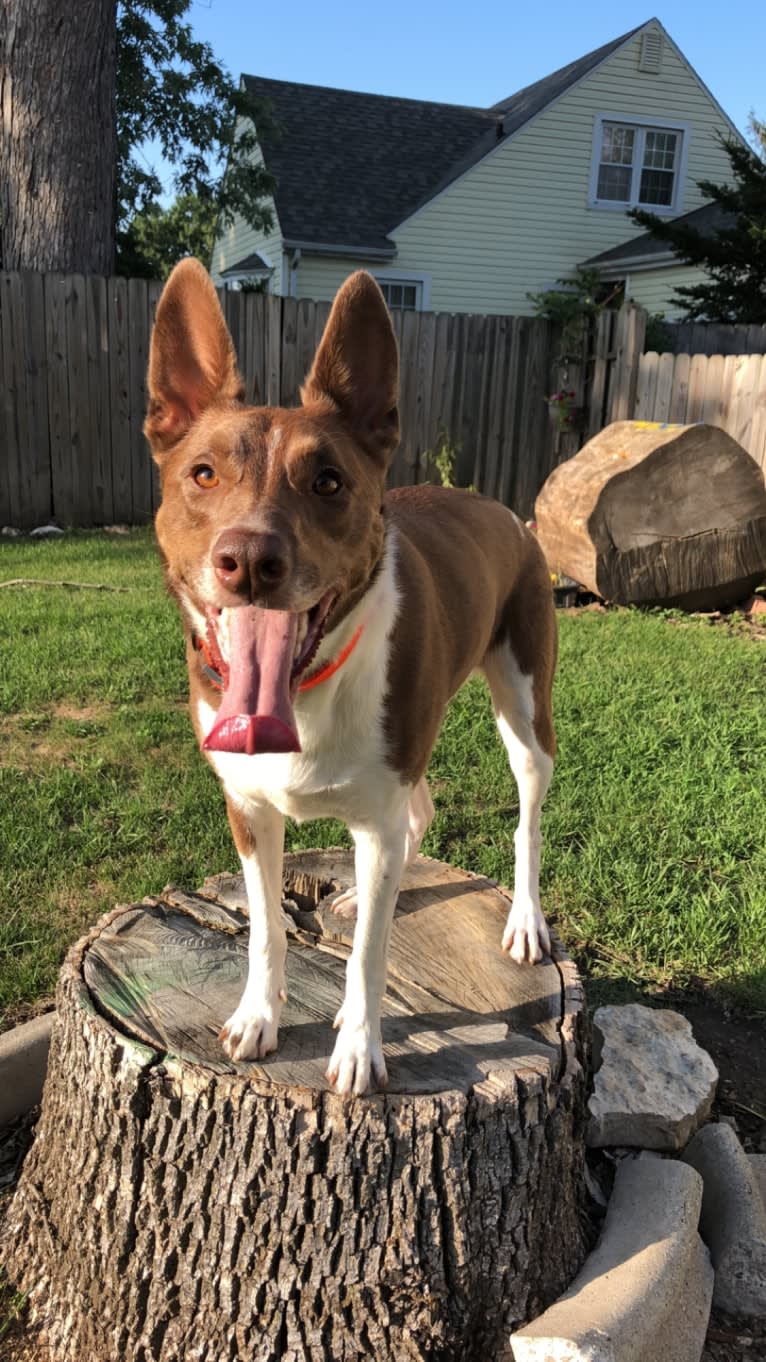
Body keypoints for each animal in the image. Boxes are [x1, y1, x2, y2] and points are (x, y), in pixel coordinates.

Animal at [144, 260, 553, 1095]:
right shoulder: (247, 808)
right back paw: (366, 892)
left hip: (525, 704)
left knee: (524, 810)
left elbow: (368, 954)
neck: (304, 691)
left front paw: (360, 1047)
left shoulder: (377, 803)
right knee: (415, 813)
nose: (249, 559)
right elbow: (265, 925)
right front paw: (257, 1015)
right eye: (202, 474)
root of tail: (502, 510)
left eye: (328, 482)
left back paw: (524, 919)